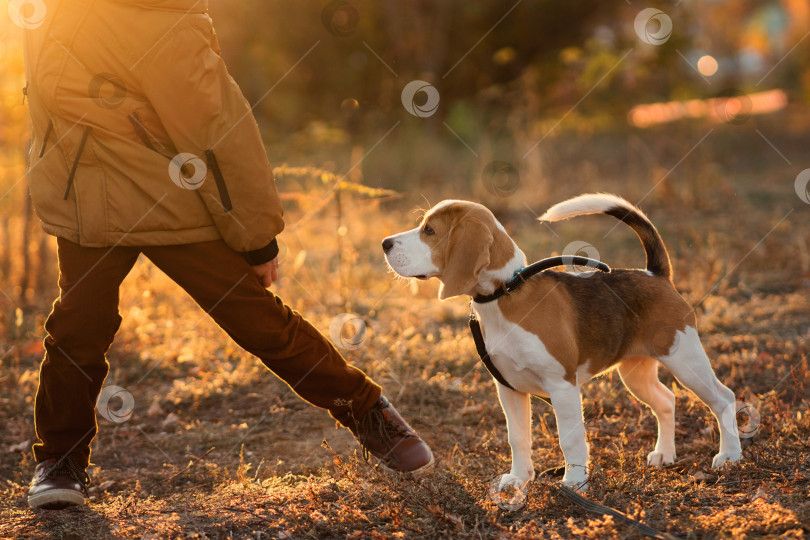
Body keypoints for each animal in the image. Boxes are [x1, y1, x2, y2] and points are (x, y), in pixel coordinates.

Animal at [382, 194, 740, 490]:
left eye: (429, 230)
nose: (385, 243)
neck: (506, 293)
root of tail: (654, 274)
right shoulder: (508, 388)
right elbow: (517, 438)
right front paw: (519, 479)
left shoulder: (562, 386)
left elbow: (570, 439)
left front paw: (574, 482)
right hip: (635, 373)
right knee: (666, 401)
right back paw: (664, 454)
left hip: (686, 360)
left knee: (724, 398)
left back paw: (730, 456)